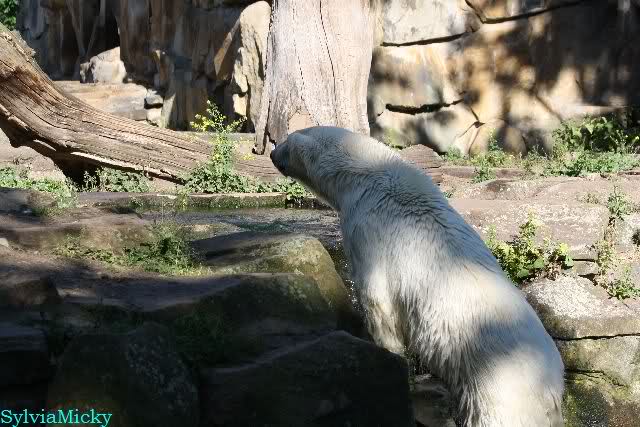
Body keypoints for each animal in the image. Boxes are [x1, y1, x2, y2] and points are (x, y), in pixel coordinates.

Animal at [270, 126, 565, 427]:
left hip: (497, 380)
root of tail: (552, 389)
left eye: (285, 141)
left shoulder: (367, 229)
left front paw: (387, 354)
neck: (366, 173)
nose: (271, 154)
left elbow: (377, 301)